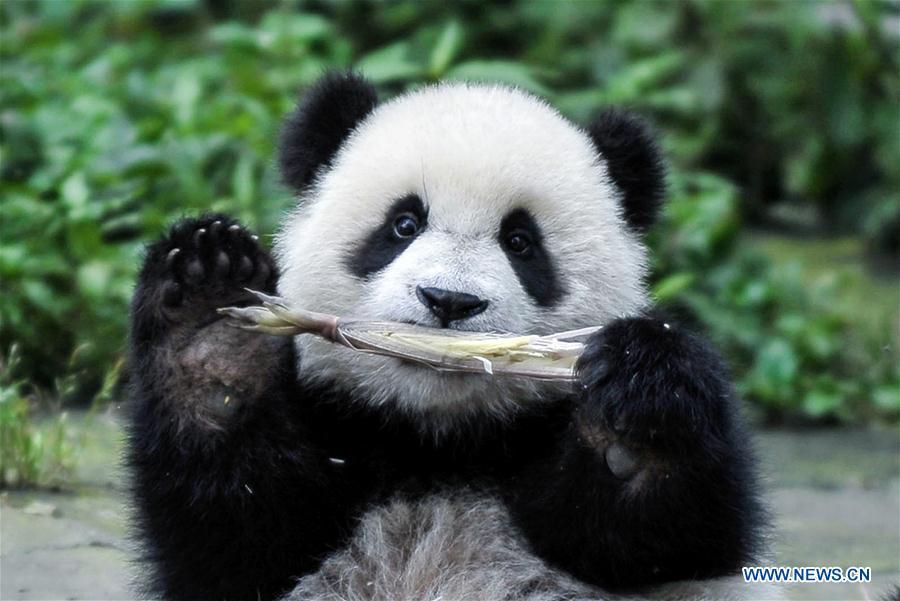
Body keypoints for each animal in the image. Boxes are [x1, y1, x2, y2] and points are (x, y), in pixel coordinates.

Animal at [127, 72, 773, 601]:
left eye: (521, 242)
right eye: (403, 224)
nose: (449, 301)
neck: (437, 440)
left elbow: (663, 541)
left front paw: (634, 418)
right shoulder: (334, 431)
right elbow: (238, 533)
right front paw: (213, 328)